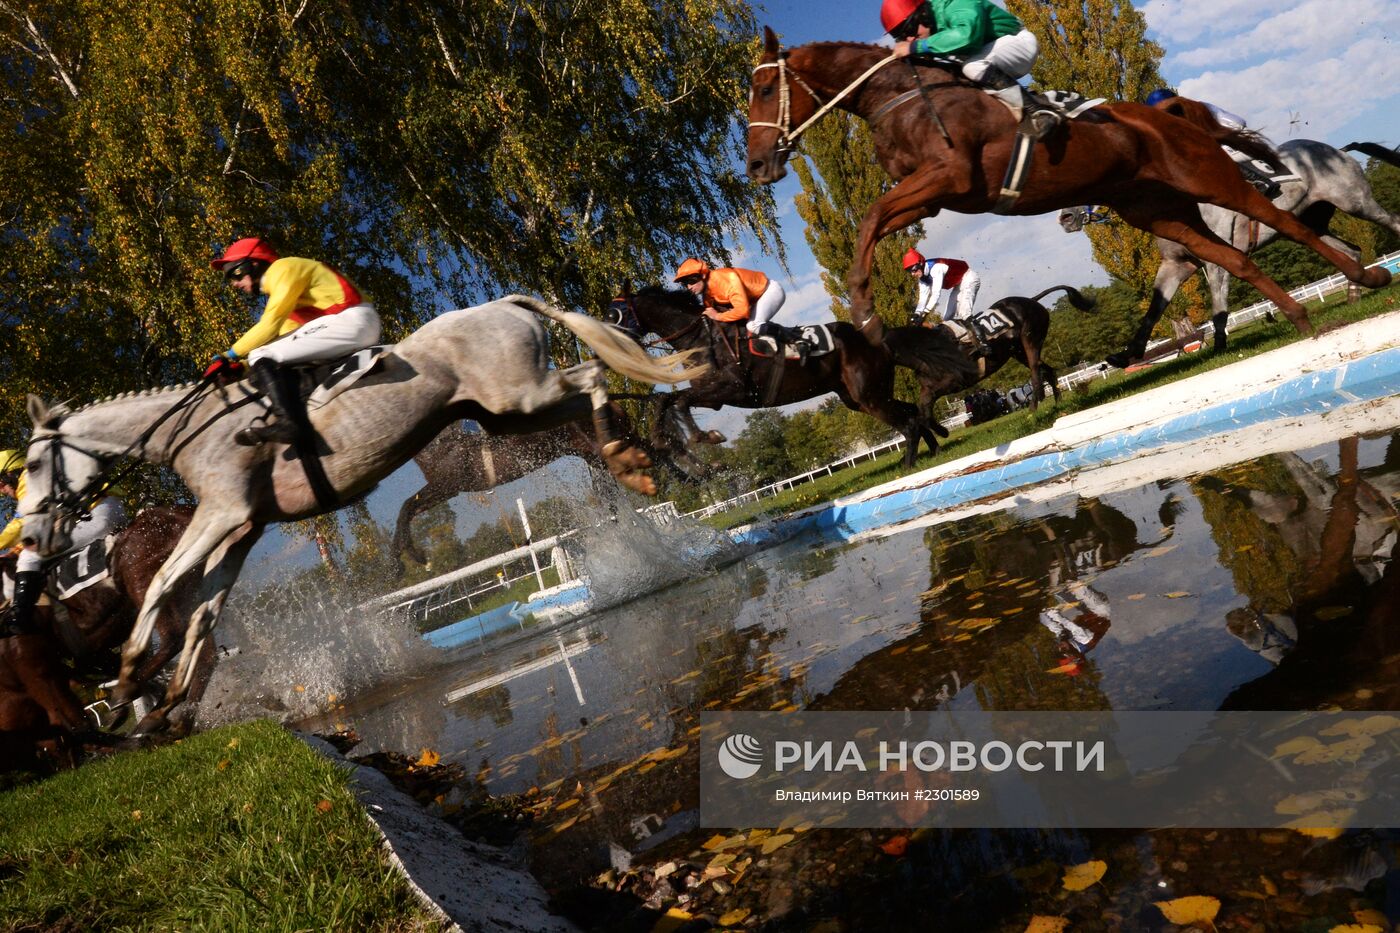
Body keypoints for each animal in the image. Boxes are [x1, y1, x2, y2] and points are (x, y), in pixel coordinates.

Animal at [16, 294, 705, 728]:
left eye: (31, 466)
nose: (31, 539)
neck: (188, 432)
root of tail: (507, 302)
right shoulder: (241, 530)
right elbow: (203, 615)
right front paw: (166, 700)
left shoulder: (221, 515)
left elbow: (162, 584)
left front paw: (133, 675)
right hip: (508, 413)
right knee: (591, 400)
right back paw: (632, 463)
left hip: (521, 396)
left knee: (592, 374)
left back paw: (634, 462)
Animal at [744, 31, 1388, 348]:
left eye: (762, 91)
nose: (754, 165)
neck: (900, 96)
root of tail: (1167, 113)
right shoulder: (931, 193)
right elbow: (872, 221)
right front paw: (871, 316)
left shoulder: (949, 177)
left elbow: (871, 213)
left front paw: (867, 316)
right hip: (1158, 209)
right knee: (1232, 257)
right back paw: (1303, 318)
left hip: (1208, 177)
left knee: (1277, 217)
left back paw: (1368, 276)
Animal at [1058, 135, 1400, 367]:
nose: (1066, 218)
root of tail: (1335, 150)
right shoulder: (1176, 264)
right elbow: (1154, 309)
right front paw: (1130, 353)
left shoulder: (1215, 259)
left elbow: (1218, 305)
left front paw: (1220, 346)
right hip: (1315, 223)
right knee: (1351, 251)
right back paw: (1355, 295)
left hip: (1357, 204)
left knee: (1393, 222)